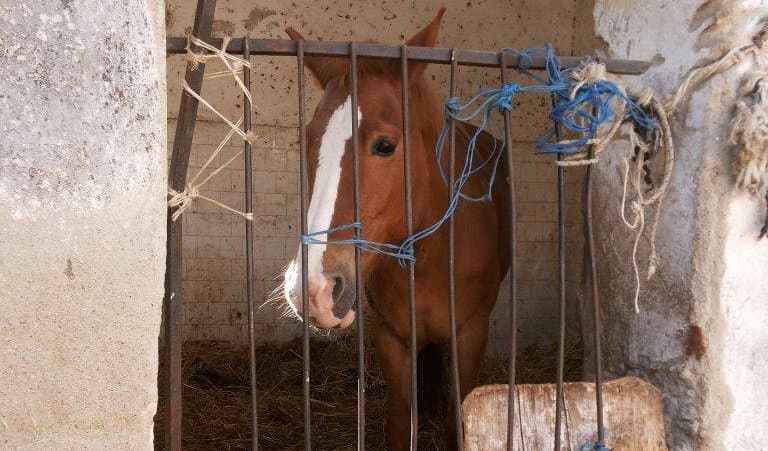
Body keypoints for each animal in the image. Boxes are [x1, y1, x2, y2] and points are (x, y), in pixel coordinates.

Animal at [281, 8, 511, 449]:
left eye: (385, 146)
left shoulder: (470, 334)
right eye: (310, 140)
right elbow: (402, 422)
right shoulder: (393, 338)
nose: (314, 290)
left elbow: (459, 421)